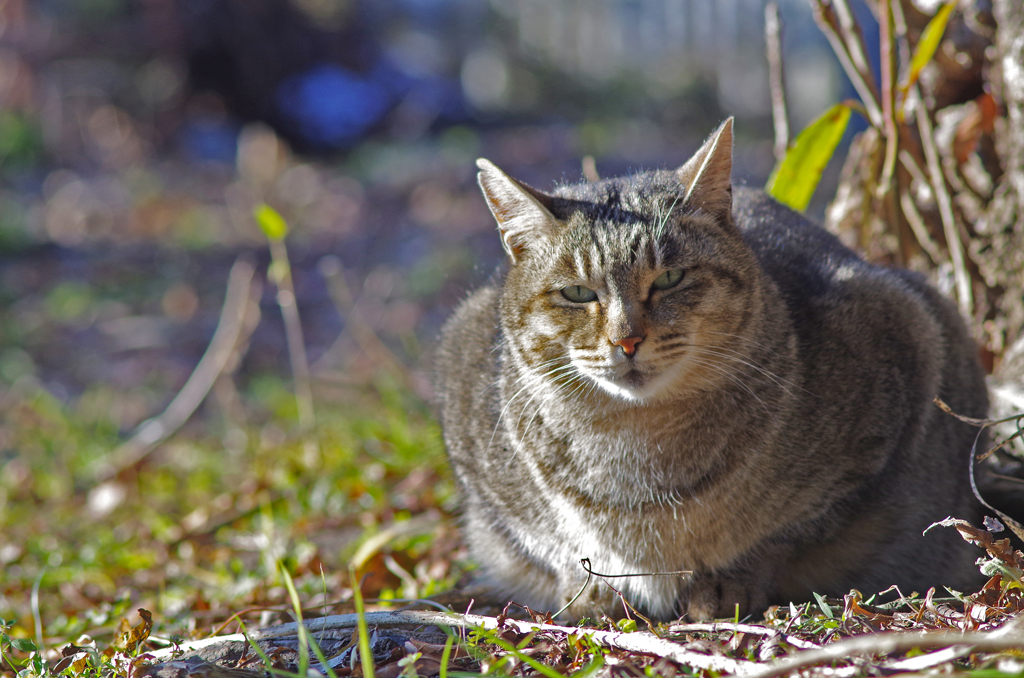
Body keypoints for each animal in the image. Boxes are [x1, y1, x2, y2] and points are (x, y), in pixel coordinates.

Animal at [434, 119, 991, 622]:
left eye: (670, 279)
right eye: (577, 293)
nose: (626, 339)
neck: (635, 453)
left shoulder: (904, 341)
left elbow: (779, 534)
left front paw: (726, 580)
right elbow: (552, 542)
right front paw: (588, 589)